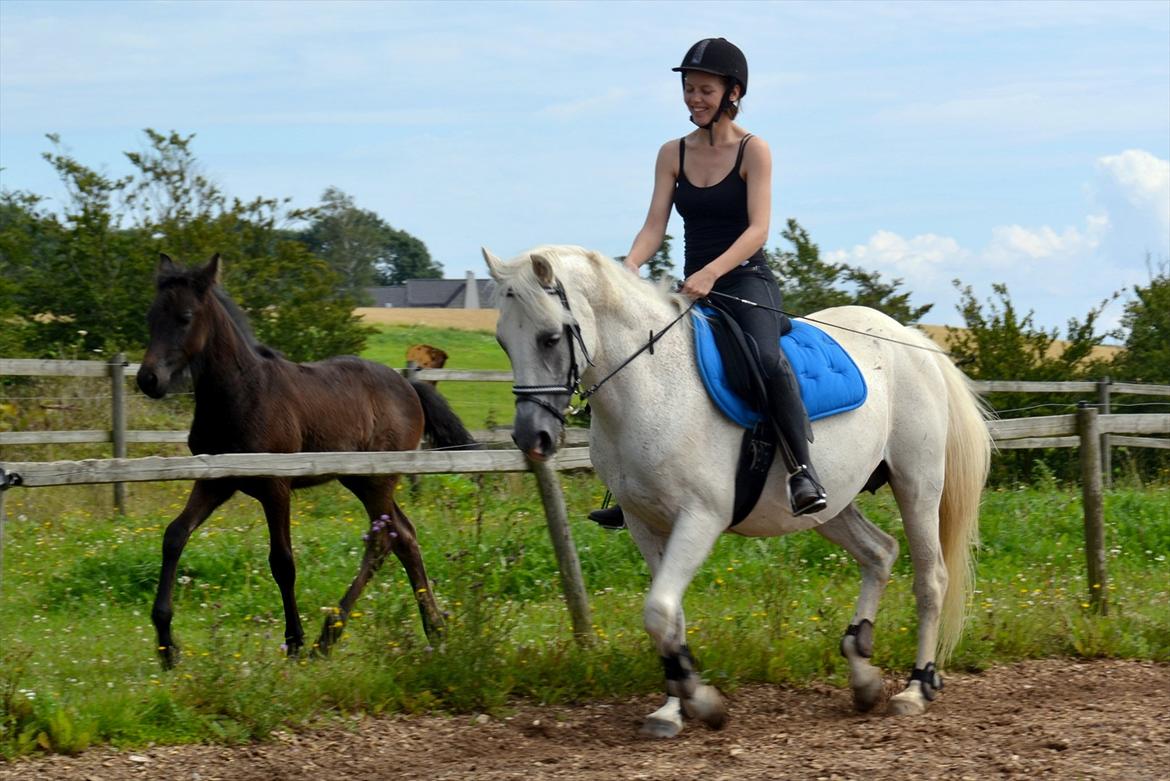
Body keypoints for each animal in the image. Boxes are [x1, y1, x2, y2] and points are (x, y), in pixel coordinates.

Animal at [482, 245, 987, 738]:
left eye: (550, 337)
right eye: (503, 342)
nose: (532, 438)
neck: (651, 385)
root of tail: (912, 340)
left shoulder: (700, 518)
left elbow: (659, 610)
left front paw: (701, 701)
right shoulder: (645, 524)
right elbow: (669, 617)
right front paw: (672, 709)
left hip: (918, 484)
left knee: (930, 579)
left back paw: (916, 688)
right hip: (831, 504)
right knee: (879, 552)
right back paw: (862, 673)